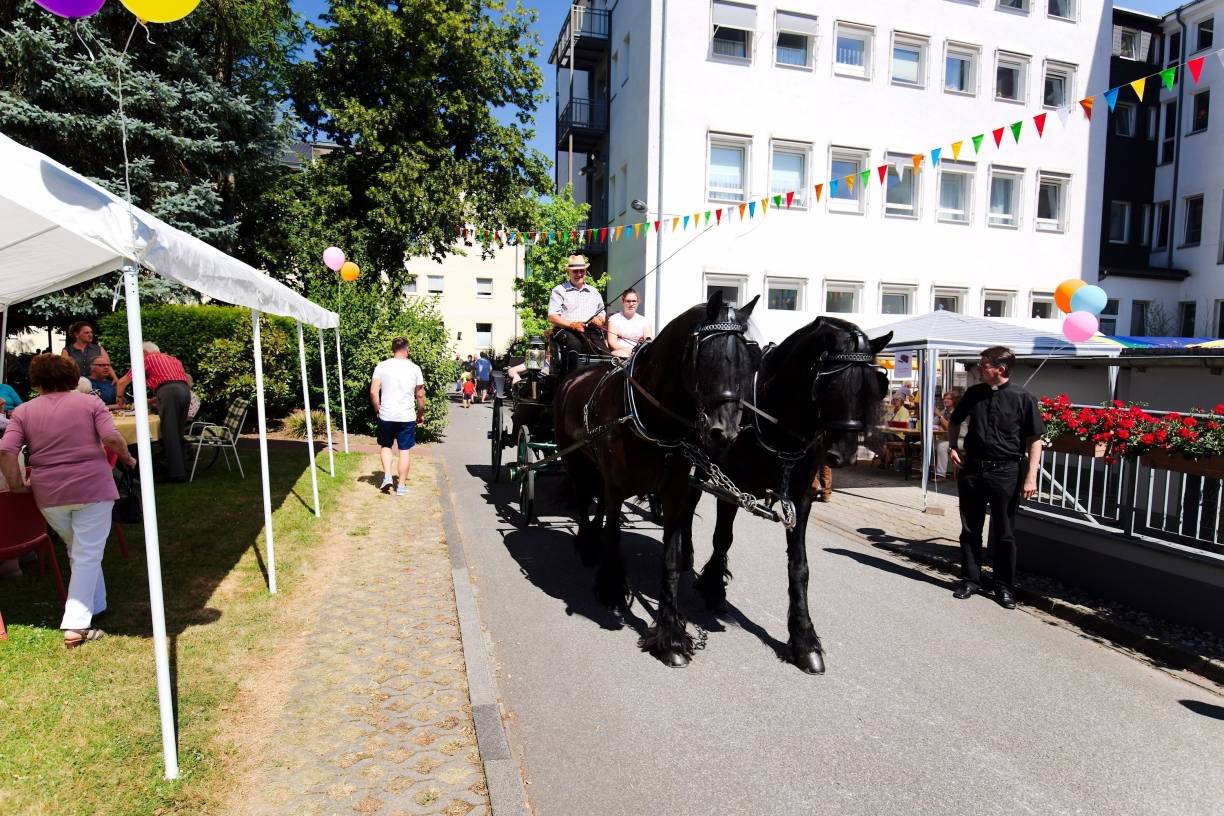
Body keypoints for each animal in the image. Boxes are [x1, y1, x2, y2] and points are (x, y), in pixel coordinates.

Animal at [553, 289, 753, 665]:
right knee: (585, 500)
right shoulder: (617, 486)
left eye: (749, 360)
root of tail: (574, 376)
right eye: (707, 357)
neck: (647, 415)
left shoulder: (673, 493)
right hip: (574, 458)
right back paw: (587, 545)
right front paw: (612, 587)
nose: (725, 432)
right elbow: (614, 533)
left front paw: (670, 634)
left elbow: (671, 557)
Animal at [680, 315, 891, 675]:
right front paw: (713, 587)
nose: (844, 455)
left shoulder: (801, 499)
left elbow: (800, 566)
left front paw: (804, 640)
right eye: (831, 383)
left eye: (872, 386)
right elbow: (723, 538)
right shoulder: (730, 487)